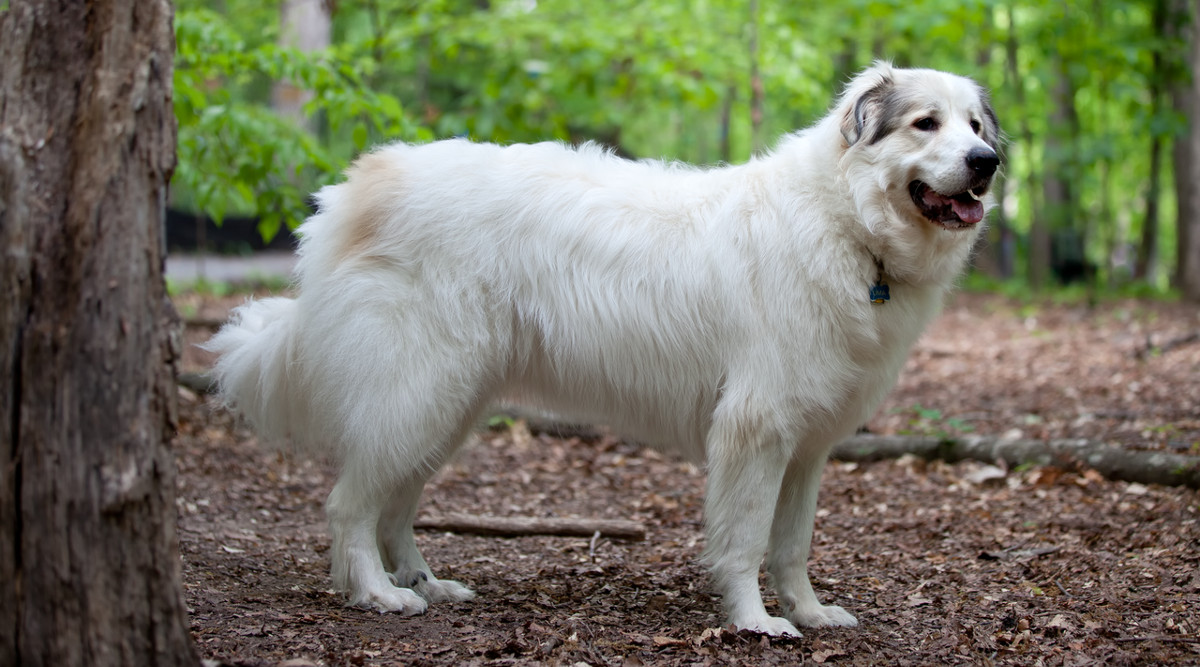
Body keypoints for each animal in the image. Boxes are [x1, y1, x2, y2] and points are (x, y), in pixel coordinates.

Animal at [208, 63, 1003, 643]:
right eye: (925, 124)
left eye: (974, 125)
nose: (988, 161)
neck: (847, 224)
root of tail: (358, 186)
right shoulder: (756, 430)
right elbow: (747, 540)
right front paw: (755, 622)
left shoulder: (806, 447)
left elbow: (793, 544)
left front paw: (808, 612)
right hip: (419, 393)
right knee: (350, 505)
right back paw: (377, 593)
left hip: (446, 407)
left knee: (394, 506)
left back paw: (424, 583)